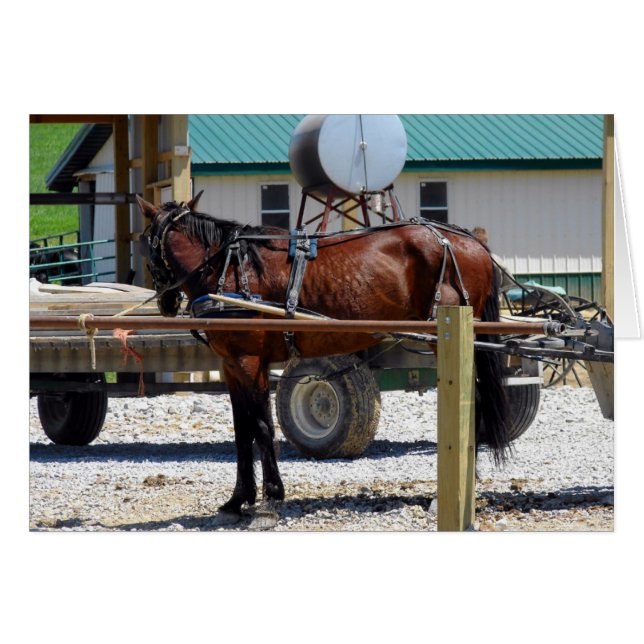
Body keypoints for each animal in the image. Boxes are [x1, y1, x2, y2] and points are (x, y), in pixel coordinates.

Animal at [137, 191, 511, 529]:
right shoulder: (231, 366)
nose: (165, 303)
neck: (228, 269)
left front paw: (270, 502)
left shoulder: (250, 361)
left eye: (143, 241)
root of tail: (469, 241)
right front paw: (236, 501)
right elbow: (242, 430)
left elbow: (262, 427)